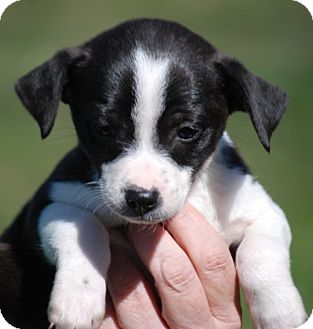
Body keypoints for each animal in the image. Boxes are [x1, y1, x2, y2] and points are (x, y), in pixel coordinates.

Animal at [0, 18, 306, 328]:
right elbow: (84, 226)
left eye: (188, 131)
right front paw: (78, 300)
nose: (141, 199)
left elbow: (261, 252)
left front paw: (281, 310)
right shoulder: (47, 204)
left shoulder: (262, 210)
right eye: (103, 129)